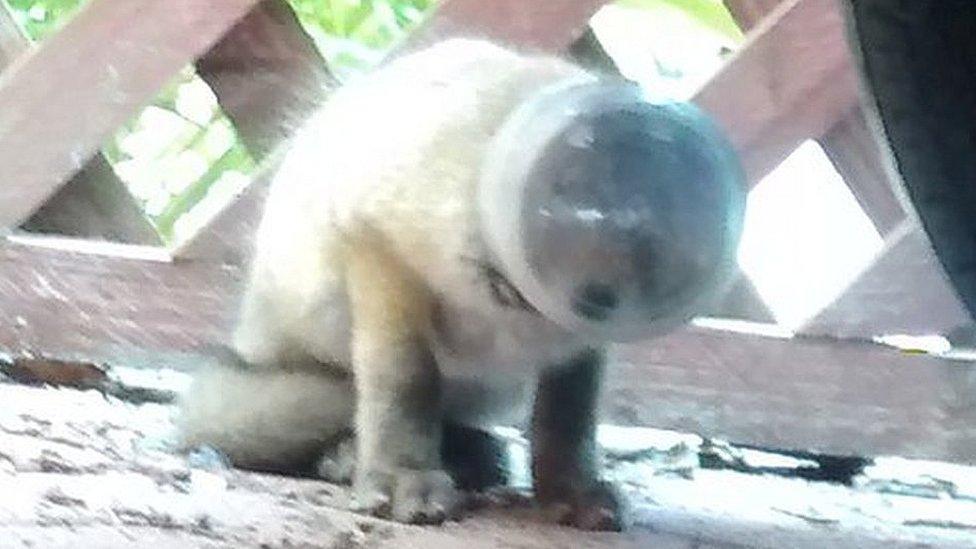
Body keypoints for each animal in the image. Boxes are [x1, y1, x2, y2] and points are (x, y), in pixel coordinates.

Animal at [175, 38, 744, 532]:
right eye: (599, 210)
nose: (606, 294)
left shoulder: (576, 345)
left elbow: (569, 417)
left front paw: (569, 490)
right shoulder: (377, 241)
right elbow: (404, 384)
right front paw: (402, 475)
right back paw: (348, 457)